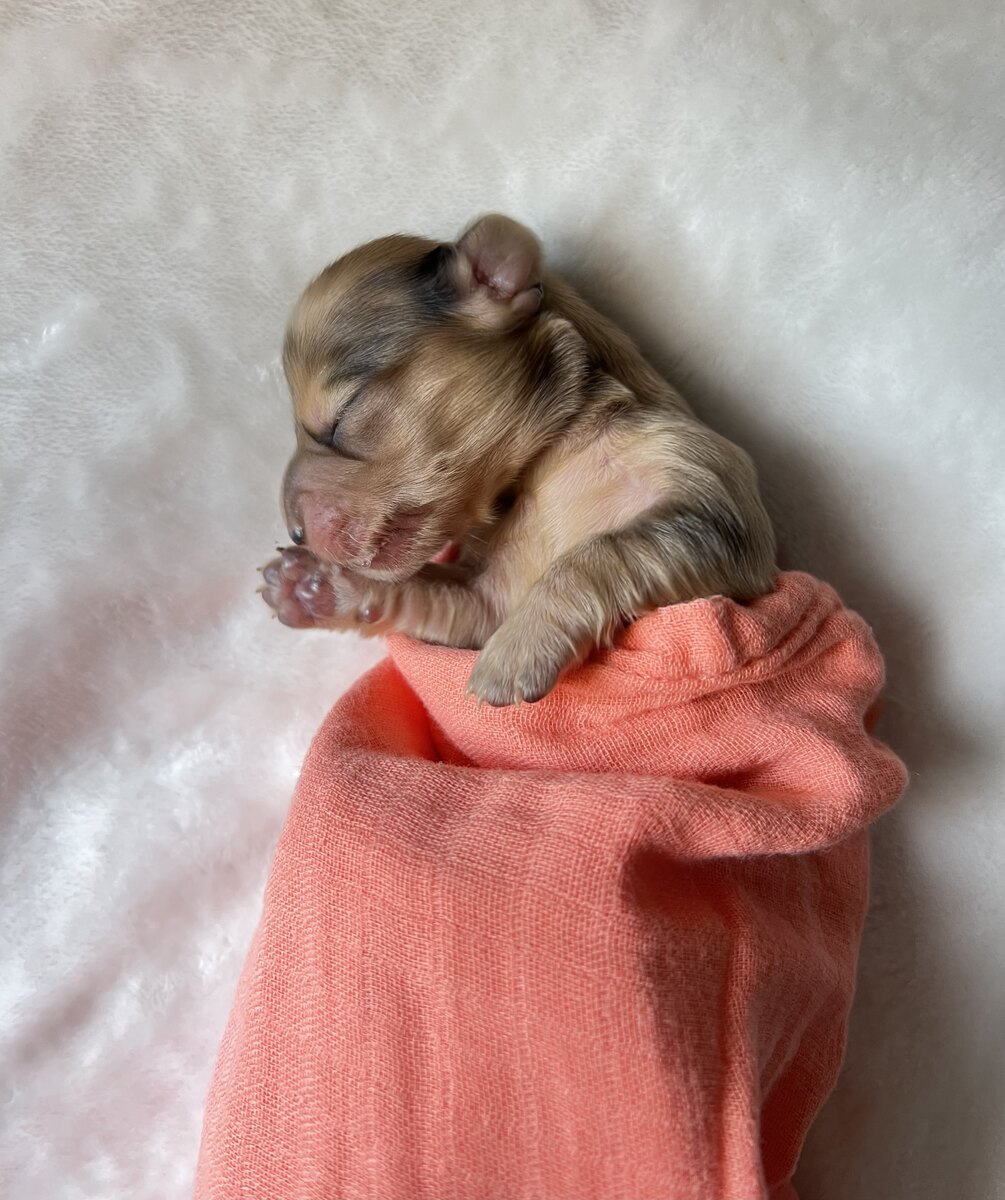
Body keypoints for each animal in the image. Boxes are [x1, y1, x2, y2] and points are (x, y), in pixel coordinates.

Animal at [261, 215, 777, 706]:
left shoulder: (711, 500)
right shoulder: (487, 601)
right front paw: (312, 584)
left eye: (340, 419)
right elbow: (430, 590)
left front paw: (514, 651)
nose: (296, 533)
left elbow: (597, 551)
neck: (544, 464)